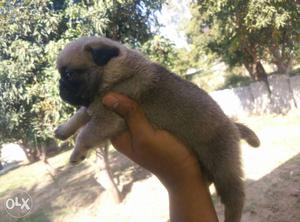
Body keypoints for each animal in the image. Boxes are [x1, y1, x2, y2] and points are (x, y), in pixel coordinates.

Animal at [54, 36, 260, 222]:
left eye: (69, 75)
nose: (59, 86)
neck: (115, 74)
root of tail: (232, 125)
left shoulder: (107, 118)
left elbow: (85, 134)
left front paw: (77, 152)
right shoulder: (93, 107)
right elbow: (78, 117)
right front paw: (63, 131)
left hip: (222, 164)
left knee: (234, 196)